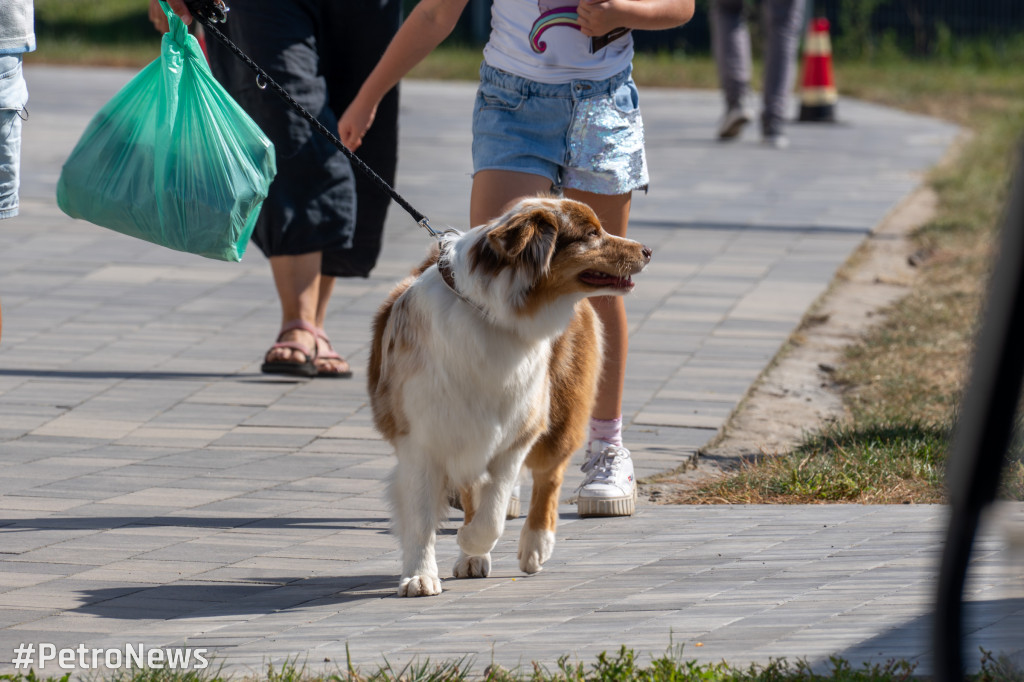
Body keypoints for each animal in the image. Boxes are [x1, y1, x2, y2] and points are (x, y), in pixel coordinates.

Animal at [366, 195, 647, 593]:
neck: (491, 314)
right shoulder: (421, 436)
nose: (648, 250)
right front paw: (420, 575)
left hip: (559, 416)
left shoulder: (517, 431)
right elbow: (421, 515)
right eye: (592, 234)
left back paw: (535, 546)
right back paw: (472, 559)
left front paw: (470, 541)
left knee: (549, 478)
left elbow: (494, 513)